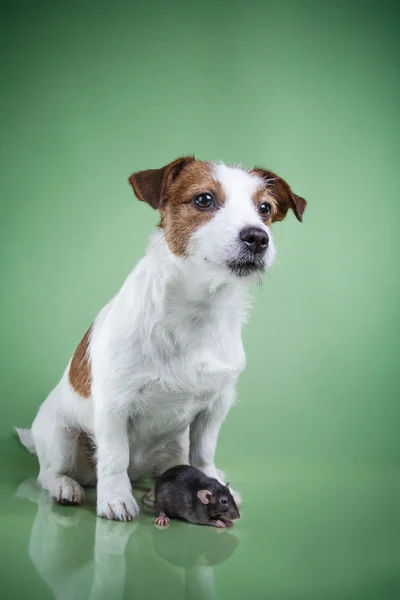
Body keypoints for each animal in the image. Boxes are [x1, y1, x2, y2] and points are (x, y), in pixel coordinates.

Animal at [15, 156, 306, 520]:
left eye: (265, 208)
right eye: (204, 200)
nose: (258, 237)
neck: (198, 311)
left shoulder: (216, 406)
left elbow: (204, 452)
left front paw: (212, 483)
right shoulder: (113, 405)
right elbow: (113, 456)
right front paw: (115, 499)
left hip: (174, 446)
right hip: (61, 438)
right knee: (49, 473)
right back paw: (65, 486)